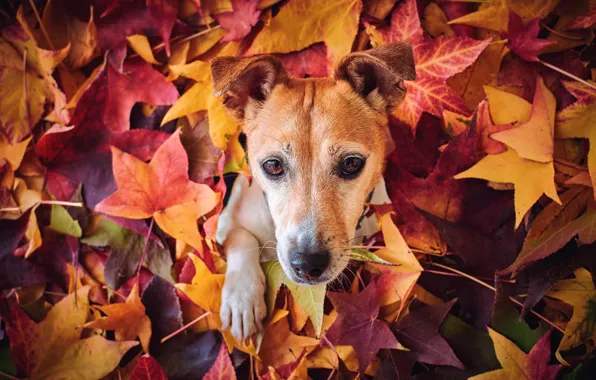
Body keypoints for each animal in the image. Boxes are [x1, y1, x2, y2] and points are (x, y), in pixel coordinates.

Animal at [211, 42, 414, 342]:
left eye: (351, 163)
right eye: (272, 165)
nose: (307, 264)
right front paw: (241, 299)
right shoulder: (228, 216)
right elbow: (241, 238)